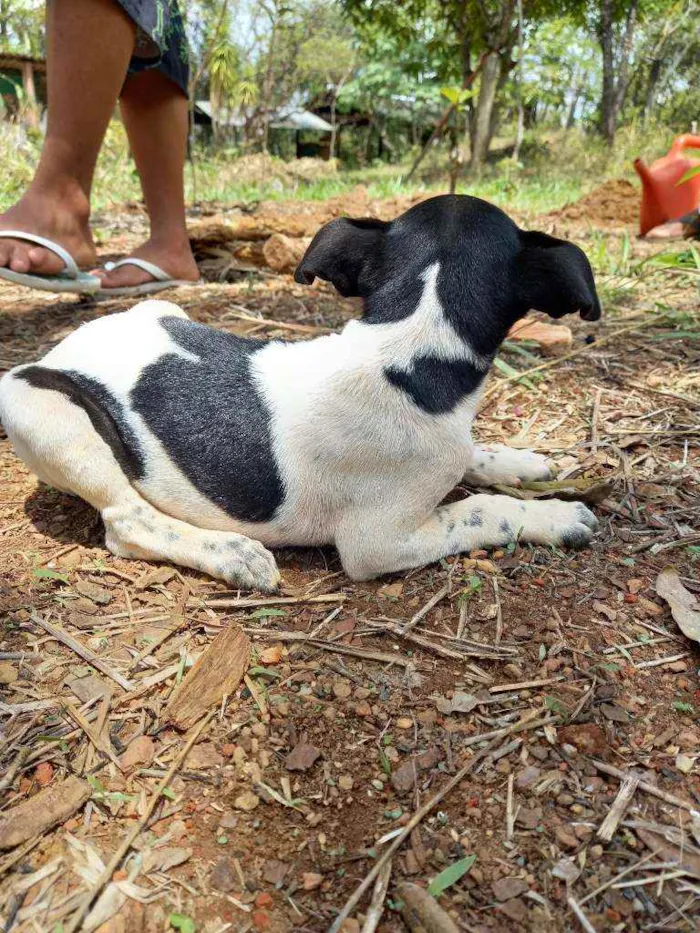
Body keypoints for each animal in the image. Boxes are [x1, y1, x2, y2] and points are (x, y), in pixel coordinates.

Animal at [0, 195, 600, 588]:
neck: (410, 345)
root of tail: (59, 350)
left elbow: (474, 459)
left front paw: (517, 462)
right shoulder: (378, 542)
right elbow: (479, 511)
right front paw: (555, 518)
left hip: (162, 309)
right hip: (38, 406)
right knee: (128, 523)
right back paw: (234, 555)